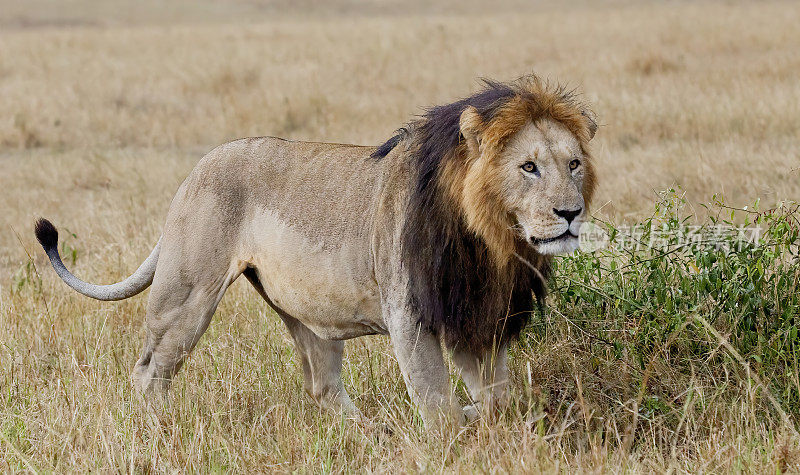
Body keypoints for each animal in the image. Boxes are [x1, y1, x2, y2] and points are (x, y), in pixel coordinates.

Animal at [39, 76, 600, 426]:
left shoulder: (477, 315)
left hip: (303, 311)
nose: (570, 213)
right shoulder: (411, 313)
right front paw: (450, 438)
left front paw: (483, 423)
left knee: (323, 386)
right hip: (186, 293)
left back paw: (375, 433)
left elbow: (497, 399)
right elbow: (437, 403)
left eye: (573, 164)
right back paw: (156, 430)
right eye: (528, 167)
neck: (492, 242)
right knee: (149, 371)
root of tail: (195, 170)